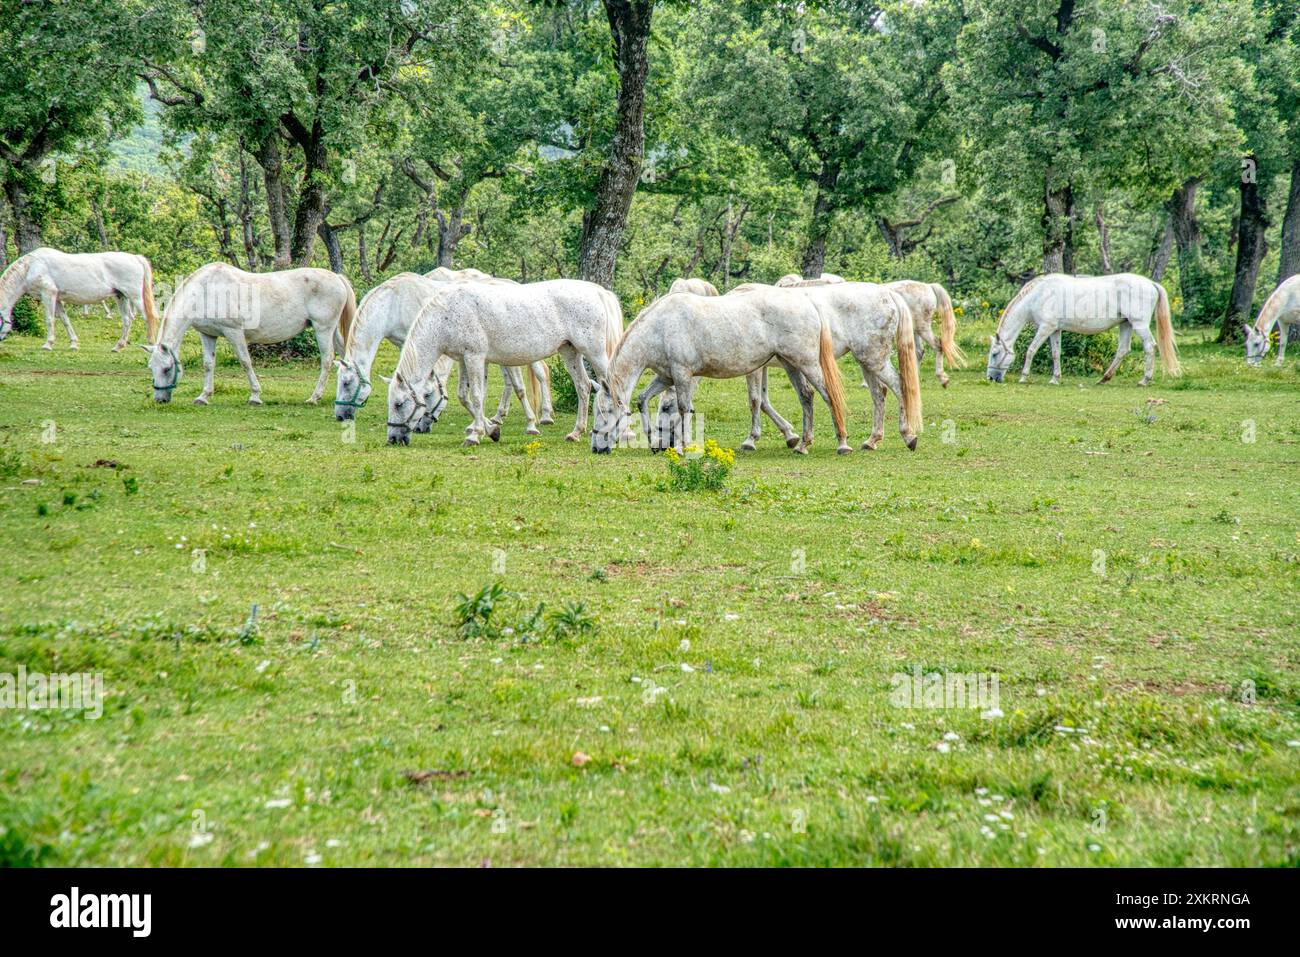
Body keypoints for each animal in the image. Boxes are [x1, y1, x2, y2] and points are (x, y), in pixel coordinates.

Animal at [0, 247, 159, 351]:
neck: (31, 266)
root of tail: (135, 258)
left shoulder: (48, 294)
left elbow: (50, 319)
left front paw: (48, 344)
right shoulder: (57, 299)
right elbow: (65, 320)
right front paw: (73, 344)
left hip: (135, 296)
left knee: (148, 317)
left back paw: (151, 344)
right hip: (121, 297)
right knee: (127, 320)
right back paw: (118, 346)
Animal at [144, 263, 355, 405]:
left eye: (167, 369)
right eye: (151, 368)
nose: (160, 400)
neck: (207, 291)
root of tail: (337, 277)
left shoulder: (234, 332)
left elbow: (245, 362)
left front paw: (255, 396)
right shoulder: (207, 334)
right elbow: (208, 365)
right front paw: (203, 396)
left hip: (323, 329)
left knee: (327, 359)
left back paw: (314, 397)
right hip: (332, 331)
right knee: (344, 356)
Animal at [385, 278, 623, 446]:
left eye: (399, 404)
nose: (393, 438)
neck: (448, 314)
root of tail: (597, 291)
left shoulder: (474, 357)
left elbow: (476, 396)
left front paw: (475, 435)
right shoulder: (465, 360)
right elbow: (465, 396)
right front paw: (490, 430)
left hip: (594, 352)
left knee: (612, 386)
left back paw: (617, 432)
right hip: (570, 352)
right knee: (583, 386)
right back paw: (576, 432)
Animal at [592, 285, 850, 456]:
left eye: (606, 411)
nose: (596, 447)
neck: (660, 328)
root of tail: (807, 303)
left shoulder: (682, 375)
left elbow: (684, 409)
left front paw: (684, 446)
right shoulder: (666, 376)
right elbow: (642, 399)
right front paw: (654, 441)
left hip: (807, 363)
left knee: (828, 395)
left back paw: (842, 443)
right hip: (791, 364)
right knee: (806, 397)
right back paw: (803, 444)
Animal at [986, 273, 1179, 385]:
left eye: (995, 354)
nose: (991, 378)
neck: (1039, 295)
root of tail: (1151, 284)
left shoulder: (1045, 328)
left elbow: (1031, 350)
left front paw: (1023, 377)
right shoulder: (1055, 330)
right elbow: (1055, 353)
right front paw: (1055, 378)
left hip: (1139, 324)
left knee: (1149, 346)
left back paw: (1144, 380)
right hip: (1126, 324)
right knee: (1123, 350)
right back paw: (1103, 379)